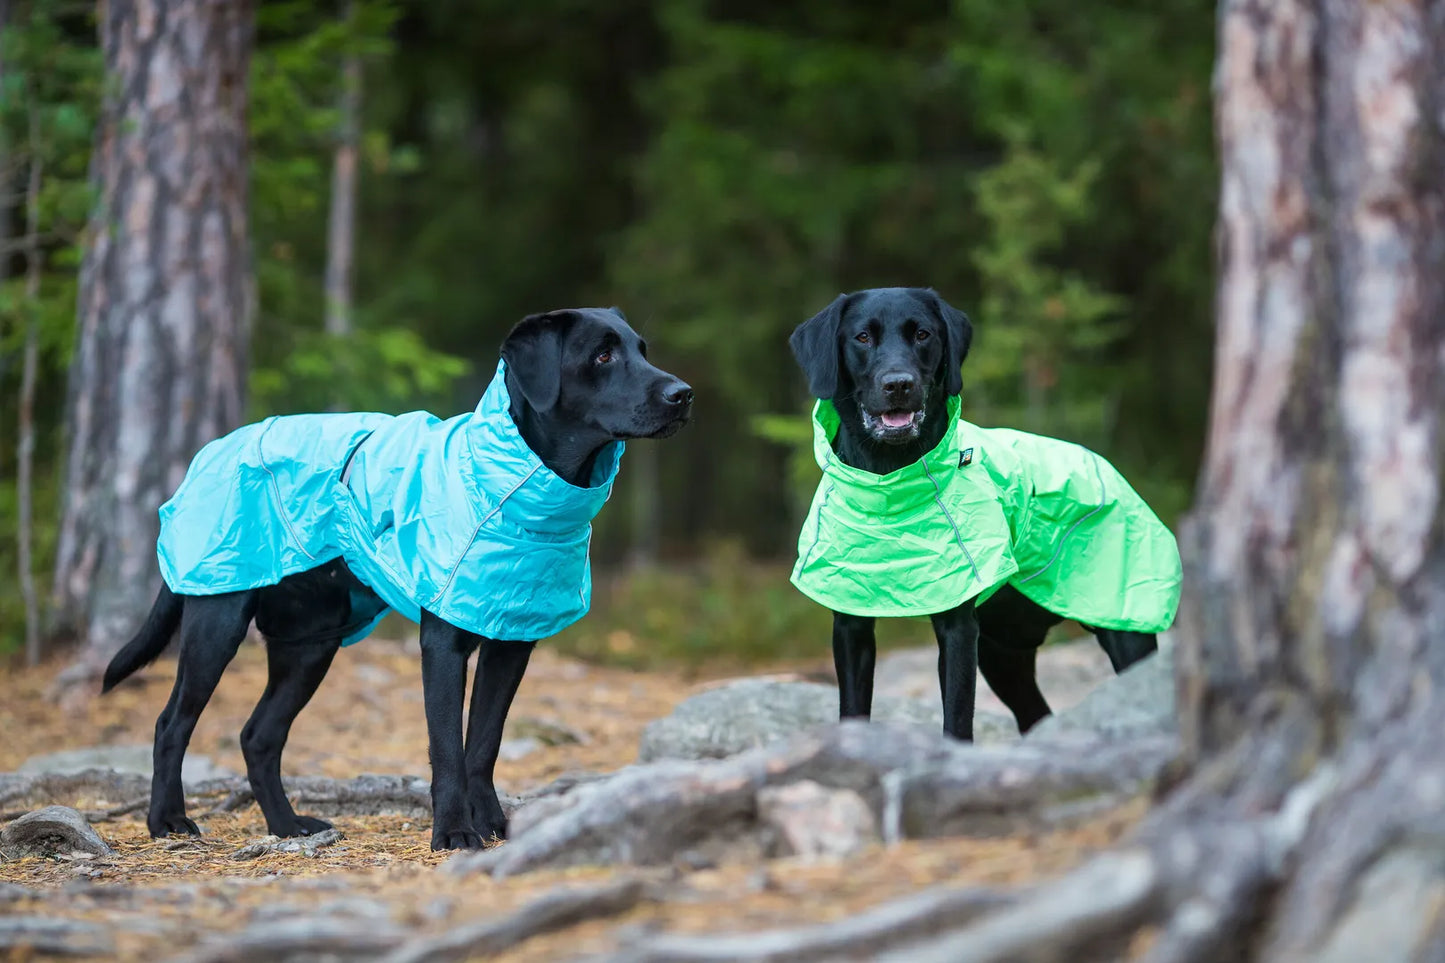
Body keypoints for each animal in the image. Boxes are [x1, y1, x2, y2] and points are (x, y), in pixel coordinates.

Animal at [101, 307, 693, 850]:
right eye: (603, 355)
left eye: (642, 350)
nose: (684, 393)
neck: (512, 486)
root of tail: (206, 459)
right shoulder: (443, 644)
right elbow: (447, 749)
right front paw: (454, 833)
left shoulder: (510, 643)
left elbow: (483, 744)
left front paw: (494, 826)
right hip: (217, 618)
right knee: (171, 724)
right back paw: (167, 820)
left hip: (310, 647)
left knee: (258, 737)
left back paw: (288, 826)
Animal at [786, 284, 1179, 734]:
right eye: (862, 337)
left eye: (922, 334)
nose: (899, 384)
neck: (890, 481)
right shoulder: (850, 626)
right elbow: (853, 711)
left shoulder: (958, 630)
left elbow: (956, 722)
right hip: (1003, 656)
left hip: (1124, 626)